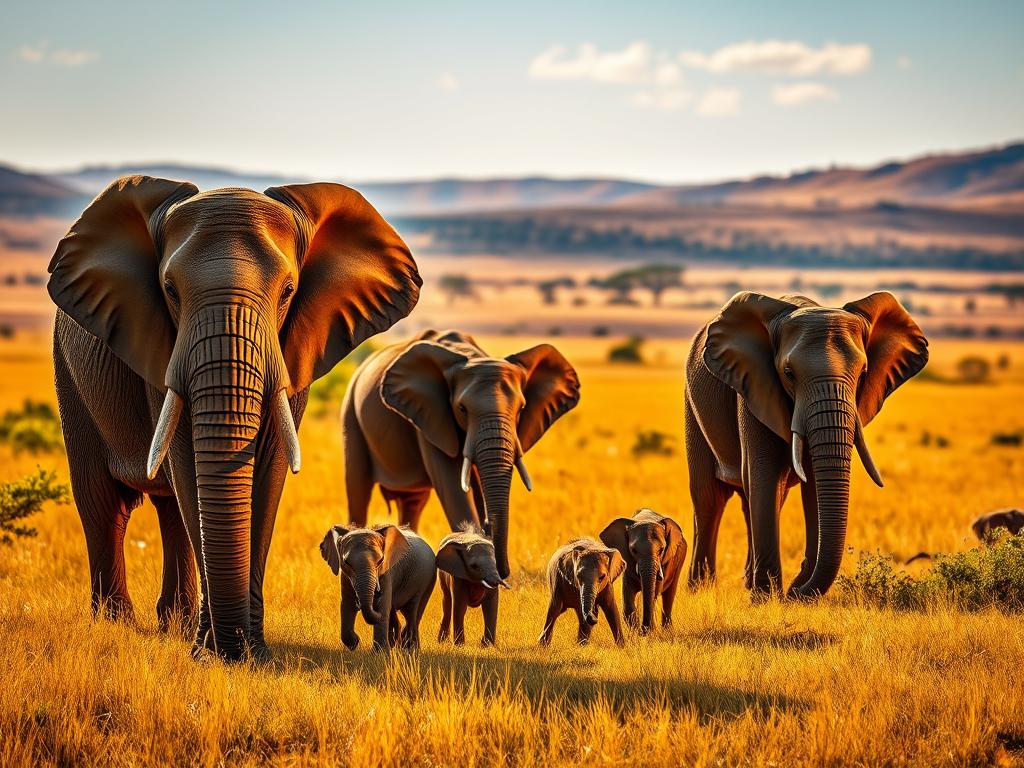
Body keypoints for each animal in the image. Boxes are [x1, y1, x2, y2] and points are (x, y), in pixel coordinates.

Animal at [48, 175, 420, 661]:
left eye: (288, 291)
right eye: (169, 290)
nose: (233, 647)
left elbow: (270, 470)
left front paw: (251, 652)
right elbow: (186, 464)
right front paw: (211, 653)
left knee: (169, 510)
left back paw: (175, 622)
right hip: (69, 375)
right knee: (102, 502)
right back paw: (118, 624)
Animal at [319, 523, 436, 652]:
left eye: (380, 561)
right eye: (346, 562)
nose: (359, 603)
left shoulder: (387, 572)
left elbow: (383, 606)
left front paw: (379, 653)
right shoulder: (345, 577)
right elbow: (347, 604)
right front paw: (354, 642)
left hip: (426, 581)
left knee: (411, 612)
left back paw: (410, 651)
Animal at [341, 329, 580, 580]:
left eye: (521, 409)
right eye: (462, 409)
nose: (503, 572)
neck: (473, 357)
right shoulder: (432, 416)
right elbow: (454, 488)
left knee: (412, 503)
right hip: (350, 414)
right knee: (358, 489)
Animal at [685, 291, 928, 598]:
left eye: (863, 374)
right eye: (789, 373)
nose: (796, 589)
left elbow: (813, 487)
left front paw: (787, 596)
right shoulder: (754, 389)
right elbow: (764, 477)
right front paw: (767, 598)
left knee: (754, 501)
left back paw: (745, 584)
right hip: (692, 408)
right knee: (710, 498)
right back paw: (700, 589)